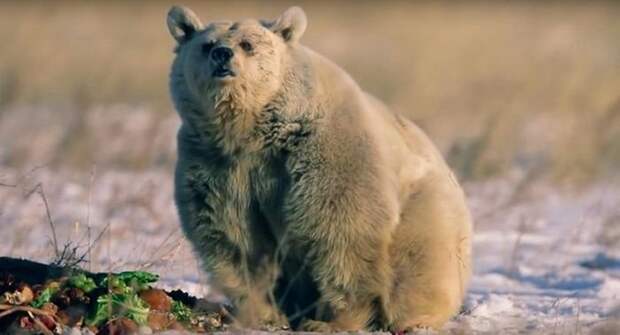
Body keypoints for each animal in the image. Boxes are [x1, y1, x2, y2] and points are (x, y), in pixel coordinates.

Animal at [165, 5, 470, 334]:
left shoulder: (325, 146)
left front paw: (332, 320)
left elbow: (339, 225)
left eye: (247, 44)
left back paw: (411, 317)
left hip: (426, 211)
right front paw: (264, 312)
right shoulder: (216, 162)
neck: (252, 130)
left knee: (419, 265)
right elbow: (235, 235)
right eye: (206, 44)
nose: (222, 55)